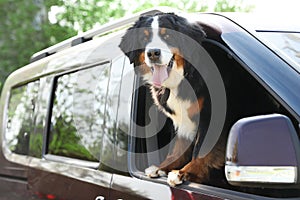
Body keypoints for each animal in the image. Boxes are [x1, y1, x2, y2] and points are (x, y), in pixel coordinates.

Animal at [119, 12, 225, 186]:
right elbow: (179, 146)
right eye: (144, 38)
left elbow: (201, 149)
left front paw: (185, 172)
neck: (182, 78)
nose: (153, 53)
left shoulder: (212, 116)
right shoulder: (182, 119)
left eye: (167, 35)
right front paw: (163, 167)